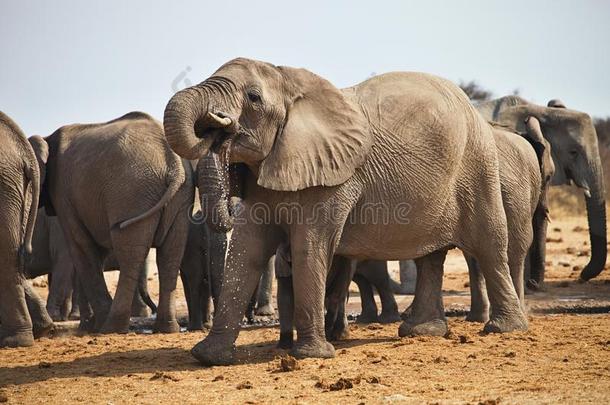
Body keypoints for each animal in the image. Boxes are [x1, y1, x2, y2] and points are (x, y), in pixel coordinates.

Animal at [28, 110, 192, 332]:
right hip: (179, 198)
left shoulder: (62, 192)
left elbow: (80, 246)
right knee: (171, 255)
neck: (46, 139)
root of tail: (173, 161)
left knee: (130, 255)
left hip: (131, 193)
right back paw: (167, 328)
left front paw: (90, 325)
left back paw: (112, 327)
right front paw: (88, 325)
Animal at [164, 57, 524, 362]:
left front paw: (312, 356)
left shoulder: (334, 179)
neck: (290, 83)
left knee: (490, 245)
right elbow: (247, 250)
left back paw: (503, 328)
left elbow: (310, 247)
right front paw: (207, 357)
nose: (218, 126)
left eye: (253, 97)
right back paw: (421, 331)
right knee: (430, 256)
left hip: (477, 163)